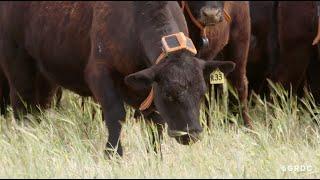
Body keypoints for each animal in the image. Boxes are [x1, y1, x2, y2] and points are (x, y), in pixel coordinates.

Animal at [0, 1, 235, 156]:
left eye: (202, 93)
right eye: (169, 94)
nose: (191, 133)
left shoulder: (146, 85)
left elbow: (156, 122)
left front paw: (155, 155)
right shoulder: (99, 73)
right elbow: (116, 115)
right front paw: (113, 153)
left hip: (45, 76)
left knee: (38, 107)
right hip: (17, 62)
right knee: (21, 105)